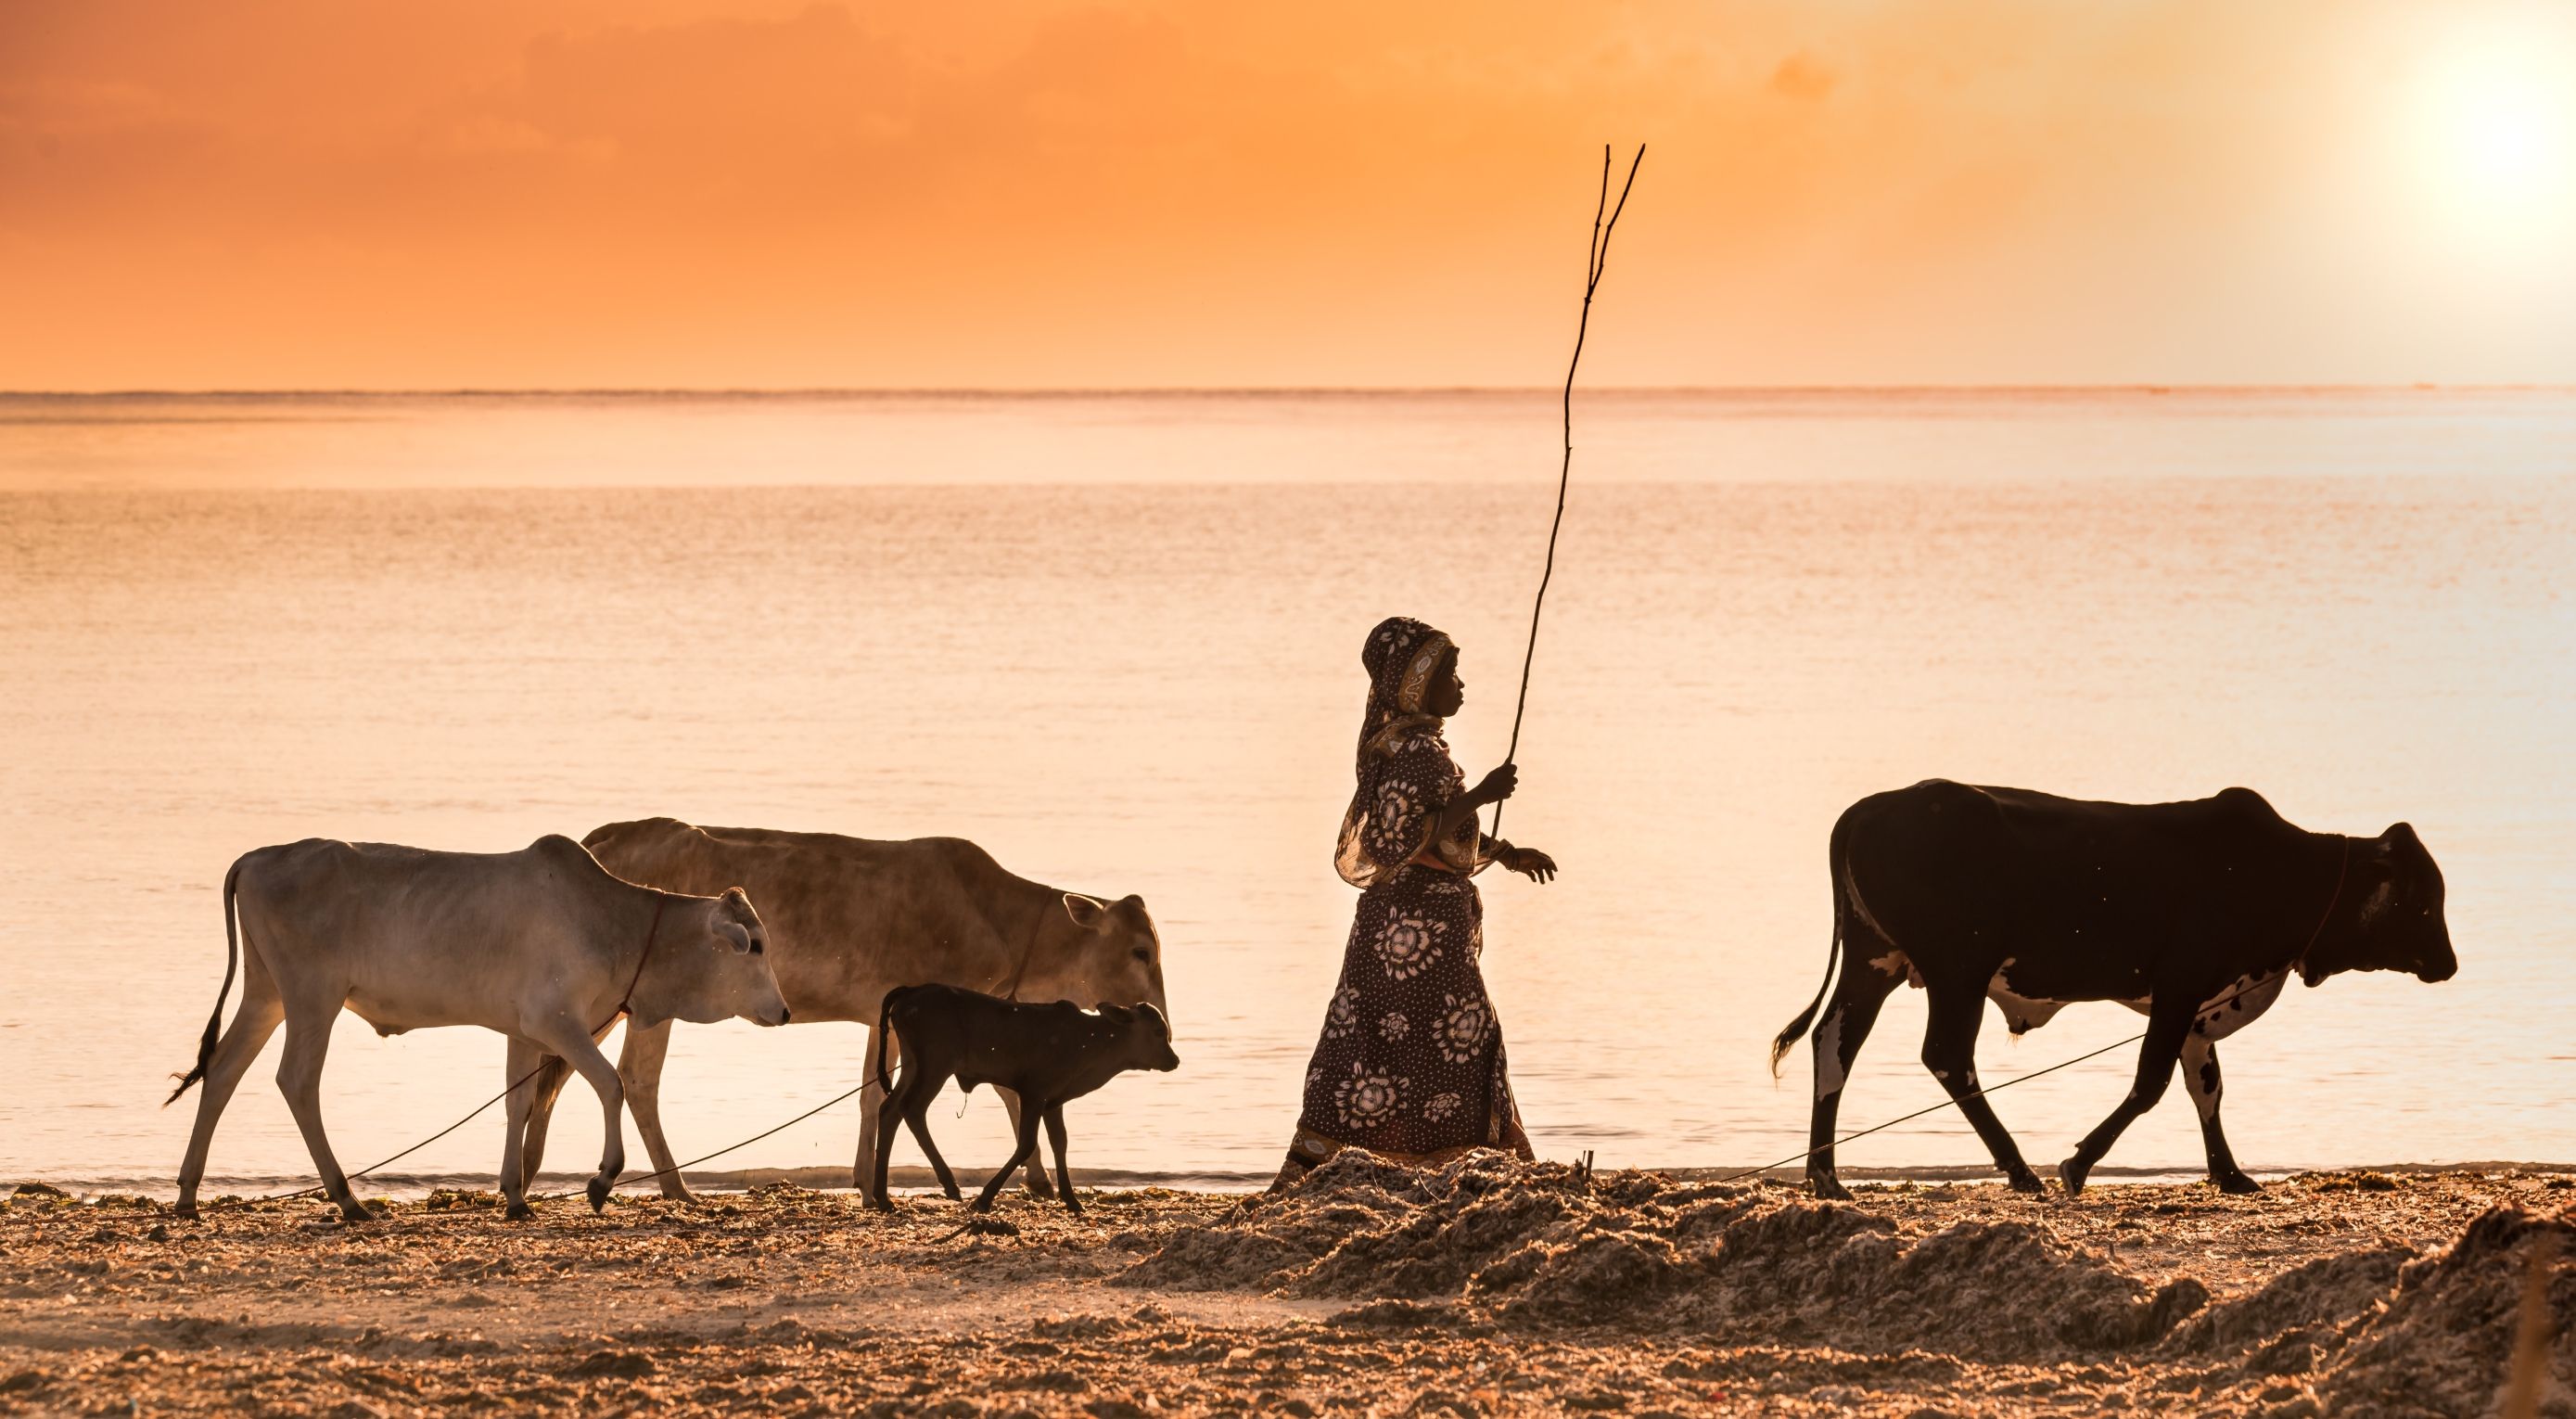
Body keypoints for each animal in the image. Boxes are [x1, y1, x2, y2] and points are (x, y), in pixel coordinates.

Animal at [167, 839, 788, 1225]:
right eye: (755, 945)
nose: (783, 1012)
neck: (621, 926)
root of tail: (258, 857)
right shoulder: (555, 1021)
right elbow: (610, 1084)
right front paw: (602, 1180)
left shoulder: (526, 1032)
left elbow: (519, 1104)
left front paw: (514, 1195)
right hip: (312, 997)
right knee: (296, 1080)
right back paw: (346, 1199)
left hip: (266, 993)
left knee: (223, 1071)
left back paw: (189, 1194)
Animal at [875, 983, 1180, 1215]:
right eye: (1158, 1032)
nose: (1174, 1060)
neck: (1090, 1040)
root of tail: (912, 991)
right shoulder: (1034, 1093)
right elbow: (1026, 1145)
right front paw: (984, 1198)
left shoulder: (1054, 1101)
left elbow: (1060, 1143)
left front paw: (1072, 1200)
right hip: (936, 1066)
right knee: (912, 1109)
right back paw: (948, 1184)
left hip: (913, 1065)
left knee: (889, 1110)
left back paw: (883, 1198)